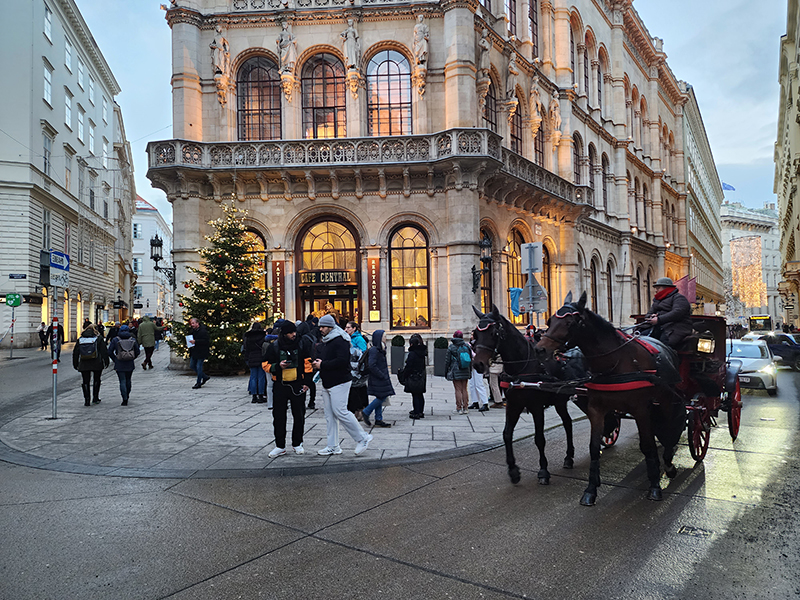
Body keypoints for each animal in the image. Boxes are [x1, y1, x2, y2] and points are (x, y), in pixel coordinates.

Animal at [468, 308, 588, 486]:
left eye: (494, 332)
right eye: (476, 333)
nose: (478, 364)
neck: (522, 368)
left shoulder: (537, 407)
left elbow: (539, 438)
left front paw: (543, 471)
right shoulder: (513, 406)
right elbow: (506, 434)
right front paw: (513, 470)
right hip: (560, 402)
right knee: (567, 423)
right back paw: (569, 457)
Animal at [536, 292, 684, 504]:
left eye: (570, 323)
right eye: (550, 321)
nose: (540, 349)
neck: (615, 363)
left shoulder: (640, 409)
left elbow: (647, 445)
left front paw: (655, 486)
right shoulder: (597, 409)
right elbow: (593, 447)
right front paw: (590, 490)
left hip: (665, 400)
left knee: (670, 427)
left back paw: (669, 463)